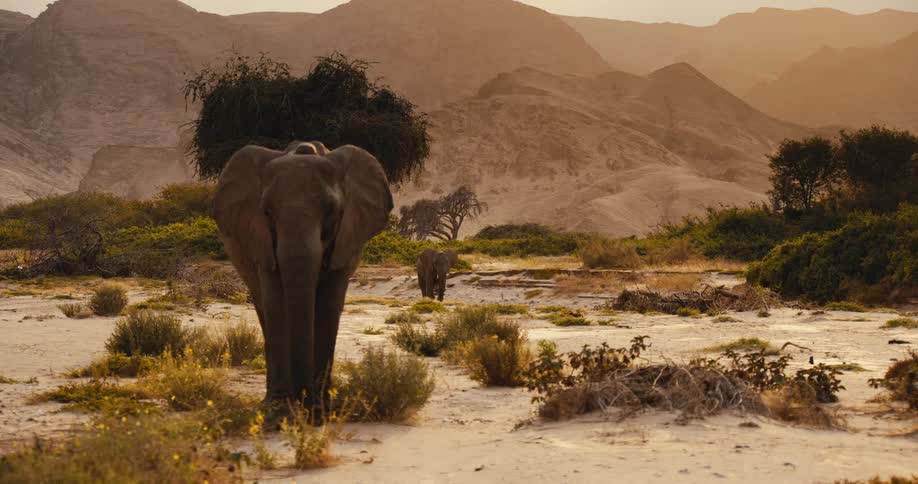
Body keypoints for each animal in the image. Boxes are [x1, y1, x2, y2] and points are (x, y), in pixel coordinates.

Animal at [214, 140, 393, 407]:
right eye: (266, 212)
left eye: (331, 211)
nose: (303, 400)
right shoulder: (261, 239)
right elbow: (276, 302)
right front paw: (278, 411)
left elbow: (328, 303)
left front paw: (321, 408)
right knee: (263, 308)